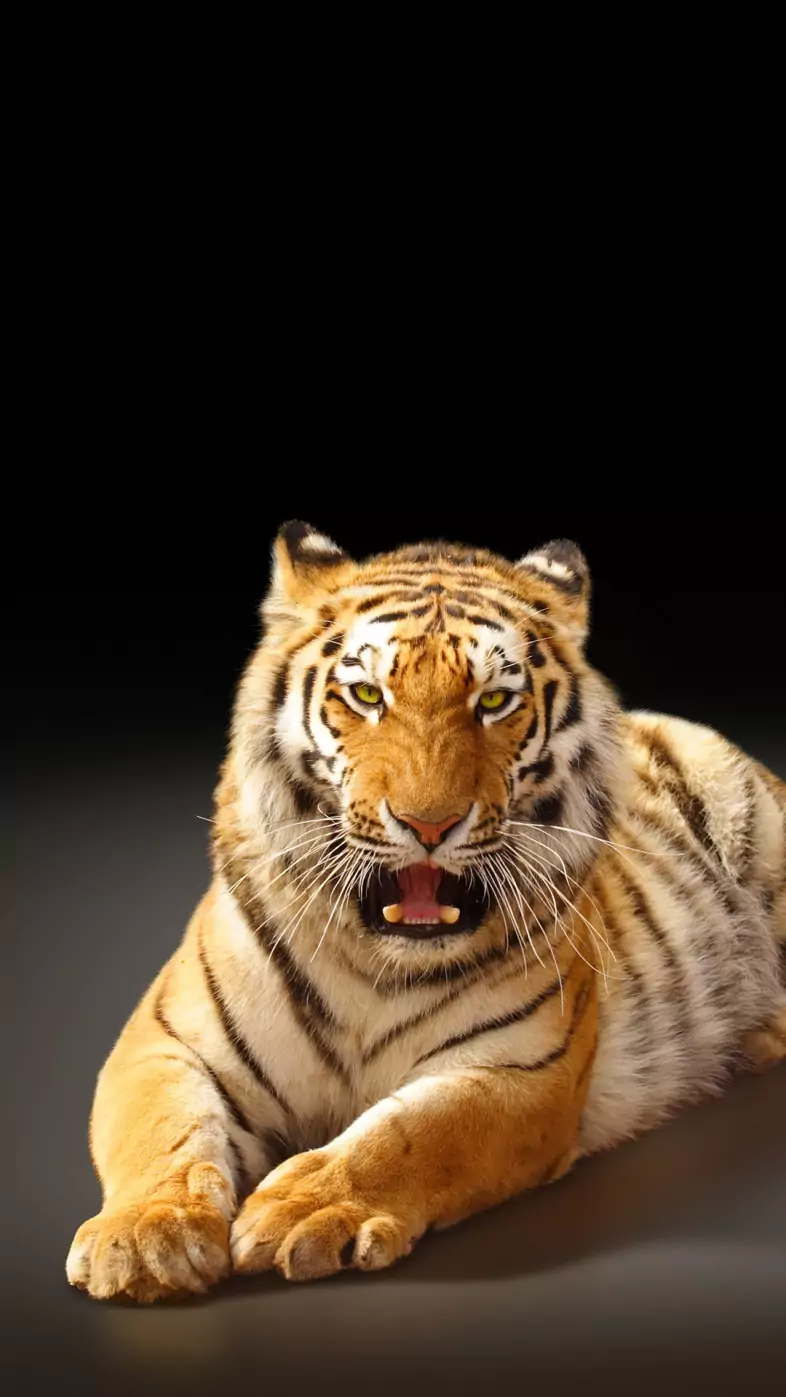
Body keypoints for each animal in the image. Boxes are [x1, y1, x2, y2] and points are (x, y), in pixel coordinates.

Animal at [66, 522, 786, 1303]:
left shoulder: (521, 1069)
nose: (429, 824)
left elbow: (409, 1136)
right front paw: (146, 1237)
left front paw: (303, 1208)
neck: (373, 961)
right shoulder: (164, 1040)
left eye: (494, 701)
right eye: (365, 693)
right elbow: (162, 1131)